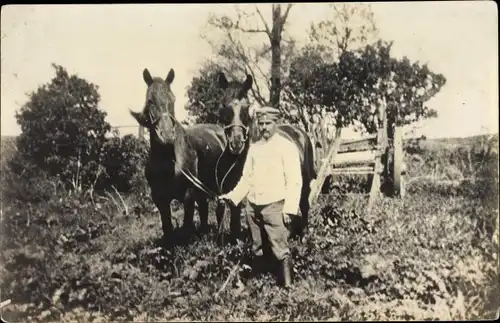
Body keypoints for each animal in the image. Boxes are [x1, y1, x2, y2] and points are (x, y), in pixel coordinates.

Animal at [130, 69, 241, 246]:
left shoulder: (188, 195)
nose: (167, 135)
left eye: (173, 99)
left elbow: (187, 228)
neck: (168, 161)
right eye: (150, 101)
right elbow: (167, 228)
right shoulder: (159, 198)